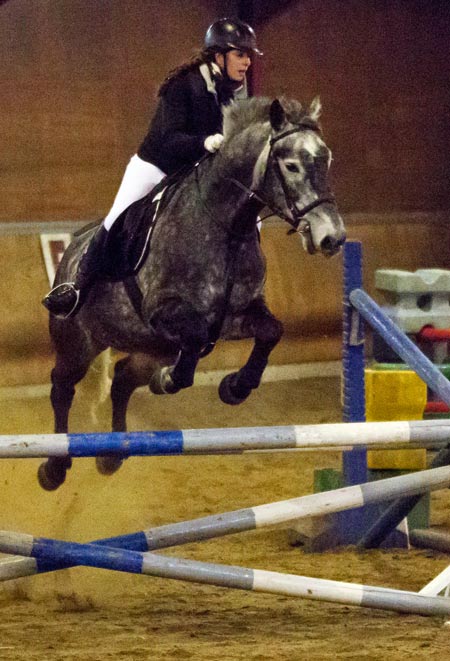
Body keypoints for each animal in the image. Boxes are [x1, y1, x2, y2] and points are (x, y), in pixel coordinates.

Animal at [39, 96, 346, 490]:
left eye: (327, 160)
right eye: (291, 165)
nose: (332, 237)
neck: (227, 227)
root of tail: (71, 249)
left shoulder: (235, 316)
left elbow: (271, 331)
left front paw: (235, 387)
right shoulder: (163, 312)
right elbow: (196, 339)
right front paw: (171, 379)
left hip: (153, 346)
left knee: (123, 378)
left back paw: (113, 454)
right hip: (78, 342)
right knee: (62, 387)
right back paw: (54, 467)